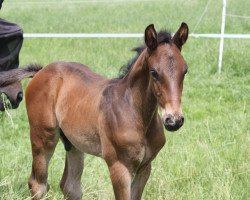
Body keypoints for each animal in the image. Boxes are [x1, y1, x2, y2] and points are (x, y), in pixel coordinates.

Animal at [25, 22, 189, 199]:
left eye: (185, 71)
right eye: (154, 72)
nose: (174, 120)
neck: (133, 111)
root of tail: (42, 71)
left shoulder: (145, 167)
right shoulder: (119, 166)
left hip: (74, 143)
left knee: (70, 186)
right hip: (43, 137)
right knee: (38, 184)